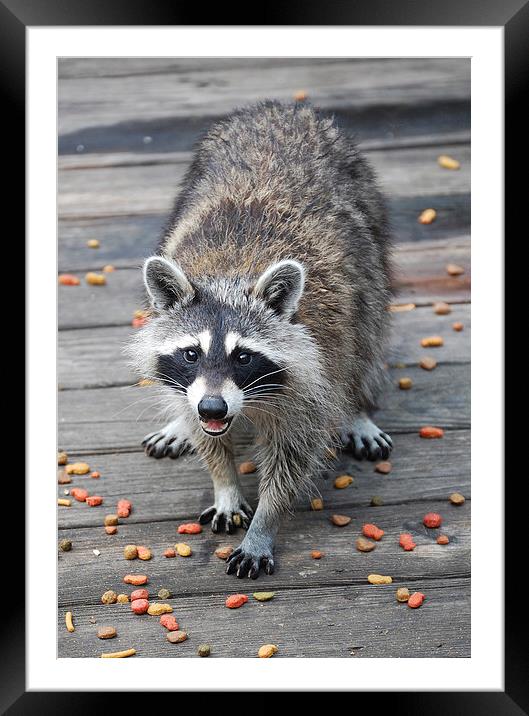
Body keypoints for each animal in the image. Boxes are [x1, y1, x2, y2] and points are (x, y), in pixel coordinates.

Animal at [128, 100, 392, 580]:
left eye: (244, 357)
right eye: (190, 354)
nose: (212, 407)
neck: (230, 274)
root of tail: (283, 108)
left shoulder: (316, 370)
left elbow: (294, 455)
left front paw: (265, 523)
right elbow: (207, 436)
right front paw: (225, 483)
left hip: (370, 247)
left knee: (368, 334)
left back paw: (358, 407)